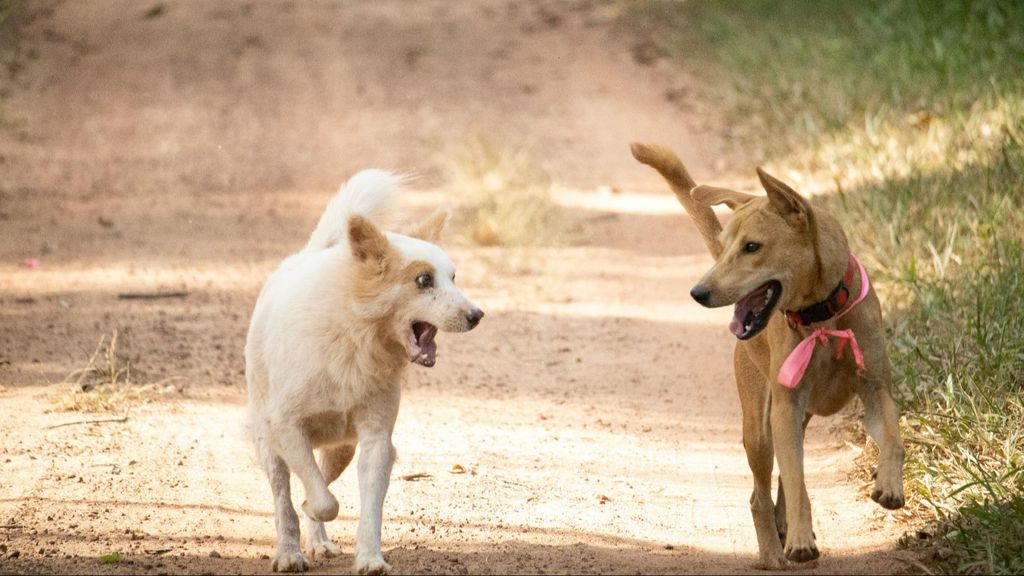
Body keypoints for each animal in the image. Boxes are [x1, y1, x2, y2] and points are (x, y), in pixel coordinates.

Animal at [244, 169, 483, 569]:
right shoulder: (288, 428)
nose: (477, 315)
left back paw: (318, 543)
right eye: (423, 280)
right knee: (284, 499)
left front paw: (370, 559)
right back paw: (290, 552)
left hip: (342, 449)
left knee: (318, 481)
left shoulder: (376, 441)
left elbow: (366, 509)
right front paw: (307, 517)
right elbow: (321, 501)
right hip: (269, 445)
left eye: (453, 277)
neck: (354, 336)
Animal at [630, 142, 905, 565]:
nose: (698, 292)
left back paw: (782, 525)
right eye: (726, 247)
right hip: (760, 427)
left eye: (752, 247)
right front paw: (800, 540)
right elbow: (796, 481)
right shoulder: (785, 408)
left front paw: (890, 486)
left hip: (796, 420)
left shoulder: (874, 388)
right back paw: (774, 551)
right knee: (758, 495)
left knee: (777, 485)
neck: (822, 317)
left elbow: (893, 437)